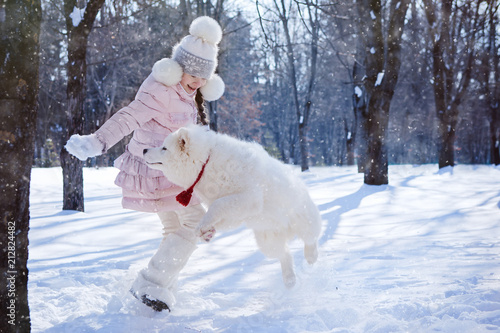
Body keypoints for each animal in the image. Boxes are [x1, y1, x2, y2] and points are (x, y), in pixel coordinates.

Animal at [143, 126, 322, 286]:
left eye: (164, 148)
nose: (144, 149)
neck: (206, 164)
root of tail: (286, 230)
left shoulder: (249, 197)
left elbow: (218, 205)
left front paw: (203, 227)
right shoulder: (236, 212)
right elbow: (217, 215)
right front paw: (206, 232)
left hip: (303, 221)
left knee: (311, 238)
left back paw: (311, 257)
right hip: (267, 241)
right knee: (284, 254)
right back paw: (289, 279)